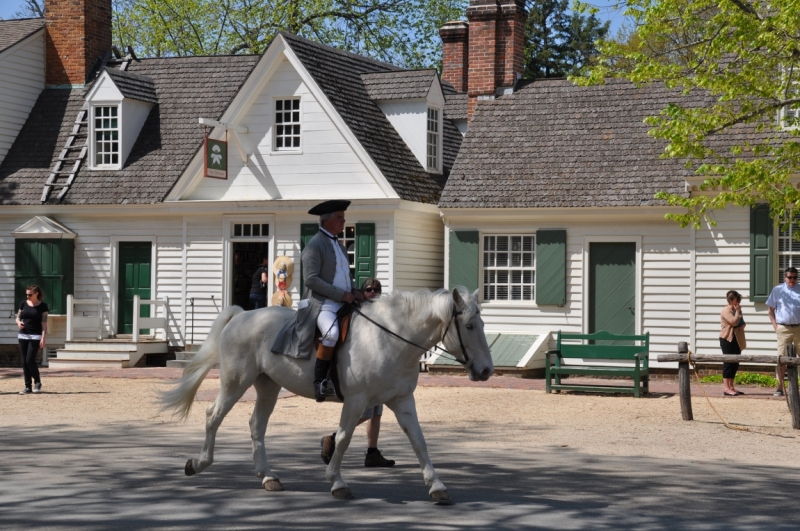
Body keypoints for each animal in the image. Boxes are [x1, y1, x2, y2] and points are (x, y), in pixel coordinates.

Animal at [161, 288, 494, 500]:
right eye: (469, 325)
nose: (487, 370)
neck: (389, 338)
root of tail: (242, 315)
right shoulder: (357, 401)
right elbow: (344, 437)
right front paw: (337, 482)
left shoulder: (401, 401)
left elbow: (419, 441)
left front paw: (436, 486)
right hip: (235, 383)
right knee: (213, 416)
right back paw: (198, 464)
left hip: (267, 386)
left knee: (257, 426)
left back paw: (268, 477)